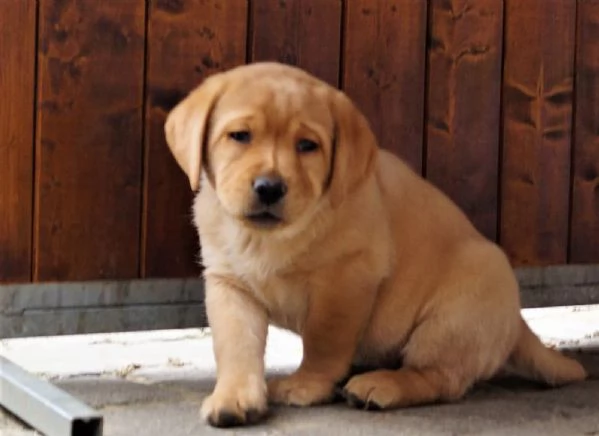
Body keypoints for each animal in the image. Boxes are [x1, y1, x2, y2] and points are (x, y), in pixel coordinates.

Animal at [164, 63, 584, 428]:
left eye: (307, 145)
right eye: (239, 136)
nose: (269, 188)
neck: (271, 238)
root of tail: (516, 320)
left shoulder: (346, 280)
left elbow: (324, 340)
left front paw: (306, 385)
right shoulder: (229, 284)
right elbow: (235, 345)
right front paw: (233, 397)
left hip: (454, 317)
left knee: (438, 378)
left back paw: (382, 384)